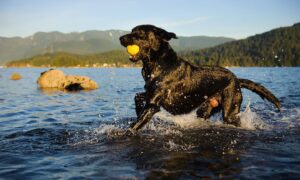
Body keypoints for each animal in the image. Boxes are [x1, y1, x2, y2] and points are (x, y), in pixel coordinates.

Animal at [119, 24, 282, 133]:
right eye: (131, 31)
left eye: (139, 33)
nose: (120, 38)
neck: (157, 63)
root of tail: (236, 79)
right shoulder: (150, 95)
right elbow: (137, 96)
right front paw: (137, 109)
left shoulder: (153, 104)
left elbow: (134, 127)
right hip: (205, 109)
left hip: (230, 112)